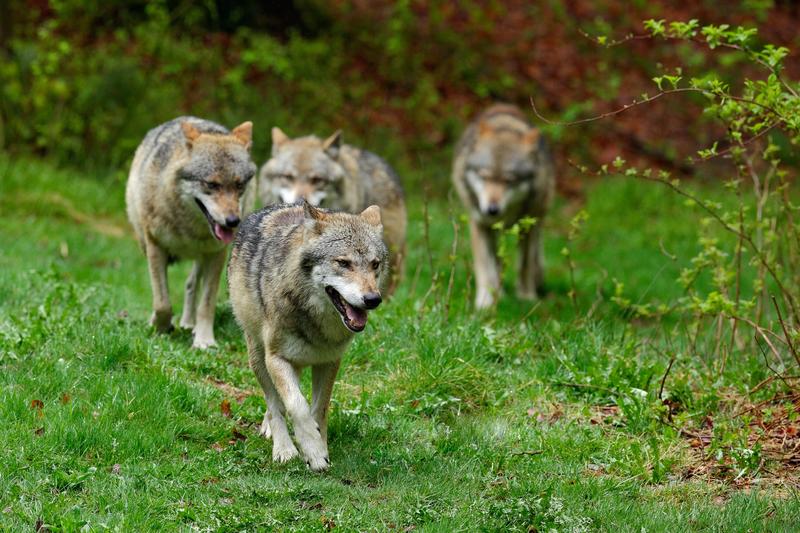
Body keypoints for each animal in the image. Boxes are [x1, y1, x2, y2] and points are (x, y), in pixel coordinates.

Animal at [126, 117, 256, 350]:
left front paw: (204, 340)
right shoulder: (155, 246)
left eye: (239, 185)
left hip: (203, 257)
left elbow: (206, 303)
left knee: (190, 284)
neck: (189, 229)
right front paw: (160, 327)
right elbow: (162, 303)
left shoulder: (217, 254)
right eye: (211, 184)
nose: (233, 221)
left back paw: (189, 324)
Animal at [227, 201, 390, 470]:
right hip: (258, 358)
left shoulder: (329, 362)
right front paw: (312, 451)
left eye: (375, 264)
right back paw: (283, 449)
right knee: (274, 404)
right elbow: (297, 405)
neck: (315, 323)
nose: (373, 299)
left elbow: (319, 409)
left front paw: (320, 445)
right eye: (343, 263)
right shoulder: (276, 359)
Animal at [450, 103, 556, 308]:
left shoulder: (527, 227)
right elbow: (485, 266)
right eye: (484, 176)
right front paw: (485, 300)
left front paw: (527, 297)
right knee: (496, 262)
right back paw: (499, 291)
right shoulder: (479, 224)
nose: (492, 210)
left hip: (537, 218)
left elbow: (525, 265)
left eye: (509, 181)